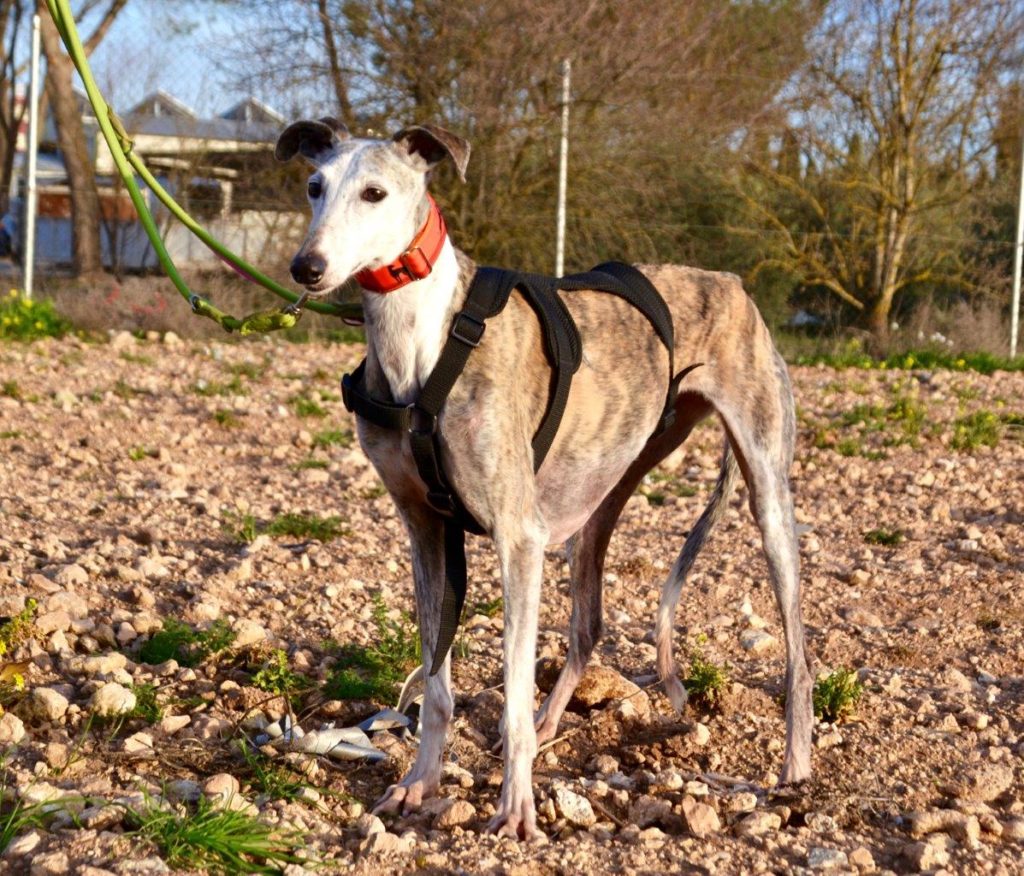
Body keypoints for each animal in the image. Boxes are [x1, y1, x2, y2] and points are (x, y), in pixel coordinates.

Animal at [276, 118, 811, 844]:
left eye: (375, 192)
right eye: (314, 186)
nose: (307, 267)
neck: (423, 343)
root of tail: (731, 282)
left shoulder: (517, 537)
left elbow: (510, 688)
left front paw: (516, 808)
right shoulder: (426, 530)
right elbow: (436, 685)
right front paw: (420, 782)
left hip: (765, 495)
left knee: (798, 658)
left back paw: (795, 770)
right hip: (603, 491)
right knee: (587, 627)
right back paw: (551, 720)